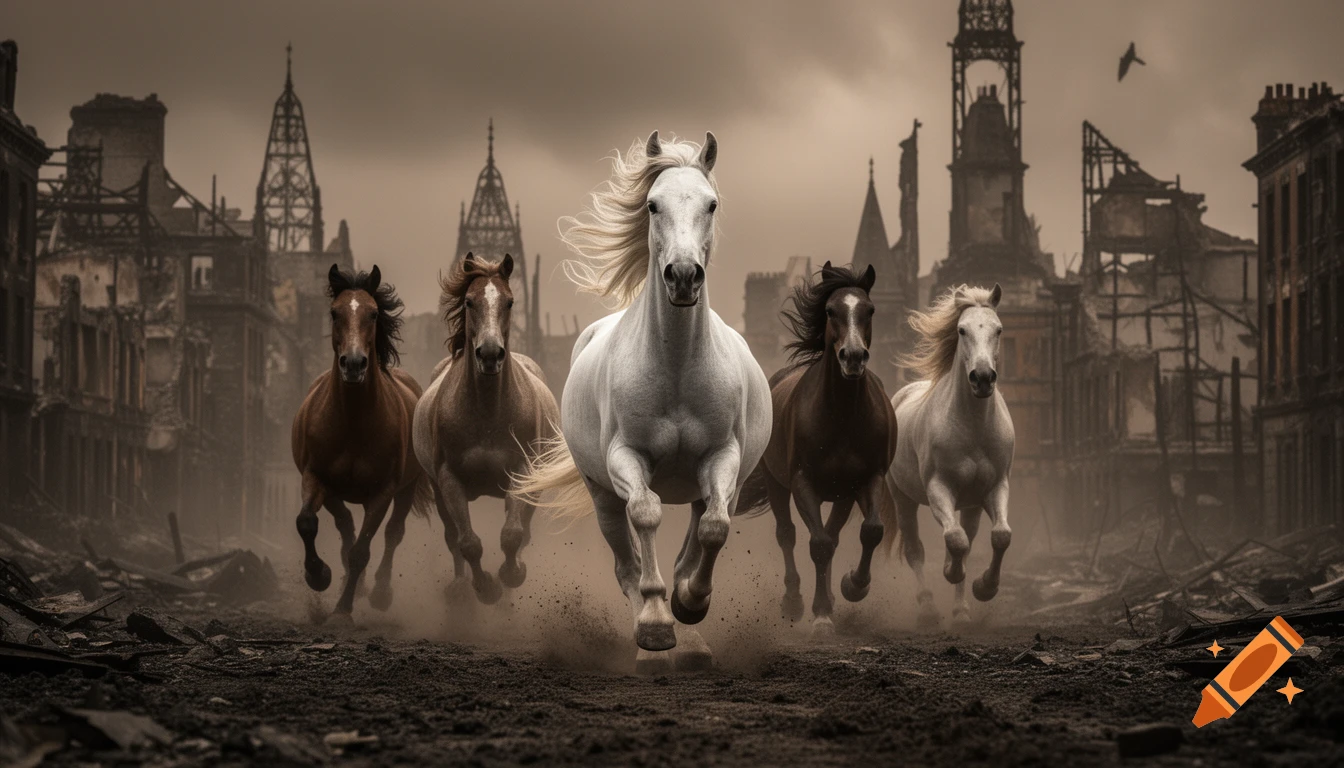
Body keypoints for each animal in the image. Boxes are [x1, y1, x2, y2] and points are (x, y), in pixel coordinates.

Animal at [291, 264, 433, 619]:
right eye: (333, 312)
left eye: (373, 313)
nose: (353, 364)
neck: (353, 424)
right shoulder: (315, 477)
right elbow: (307, 522)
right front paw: (319, 576)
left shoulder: (382, 492)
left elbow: (362, 551)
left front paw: (342, 611)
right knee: (344, 525)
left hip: (405, 489)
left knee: (392, 533)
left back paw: (379, 591)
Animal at [412, 252, 559, 604]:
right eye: (468, 301)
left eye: (509, 301)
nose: (490, 354)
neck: (487, 413)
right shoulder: (448, 480)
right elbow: (466, 542)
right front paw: (486, 587)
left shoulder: (522, 471)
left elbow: (513, 534)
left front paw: (511, 575)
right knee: (453, 537)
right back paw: (459, 587)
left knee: (524, 529)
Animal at [515, 131, 772, 671]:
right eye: (653, 204)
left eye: (712, 204)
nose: (683, 276)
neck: (675, 368)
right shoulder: (625, 458)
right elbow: (646, 515)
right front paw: (656, 625)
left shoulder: (722, 458)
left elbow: (715, 528)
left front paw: (690, 603)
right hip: (600, 494)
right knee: (625, 561)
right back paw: (651, 642)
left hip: (717, 483)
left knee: (699, 528)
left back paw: (692, 638)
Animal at [734, 261, 898, 634]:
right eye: (830, 310)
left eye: (870, 310)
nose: (853, 357)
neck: (843, 418)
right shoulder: (802, 483)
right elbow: (817, 544)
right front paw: (820, 613)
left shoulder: (868, 479)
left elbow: (871, 531)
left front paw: (853, 585)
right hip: (776, 483)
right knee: (788, 534)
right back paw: (793, 601)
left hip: (842, 495)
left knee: (834, 535)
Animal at [882, 283, 1014, 624]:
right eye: (961, 330)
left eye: (998, 329)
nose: (983, 378)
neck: (972, 429)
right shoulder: (938, 488)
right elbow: (955, 541)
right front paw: (950, 572)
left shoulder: (995, 487)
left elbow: (1000, 536)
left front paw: (984, 588)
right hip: (902, 498)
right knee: (915, 549)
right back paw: (929, 607)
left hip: (971, 505)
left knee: (968, 537)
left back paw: (960, 611)